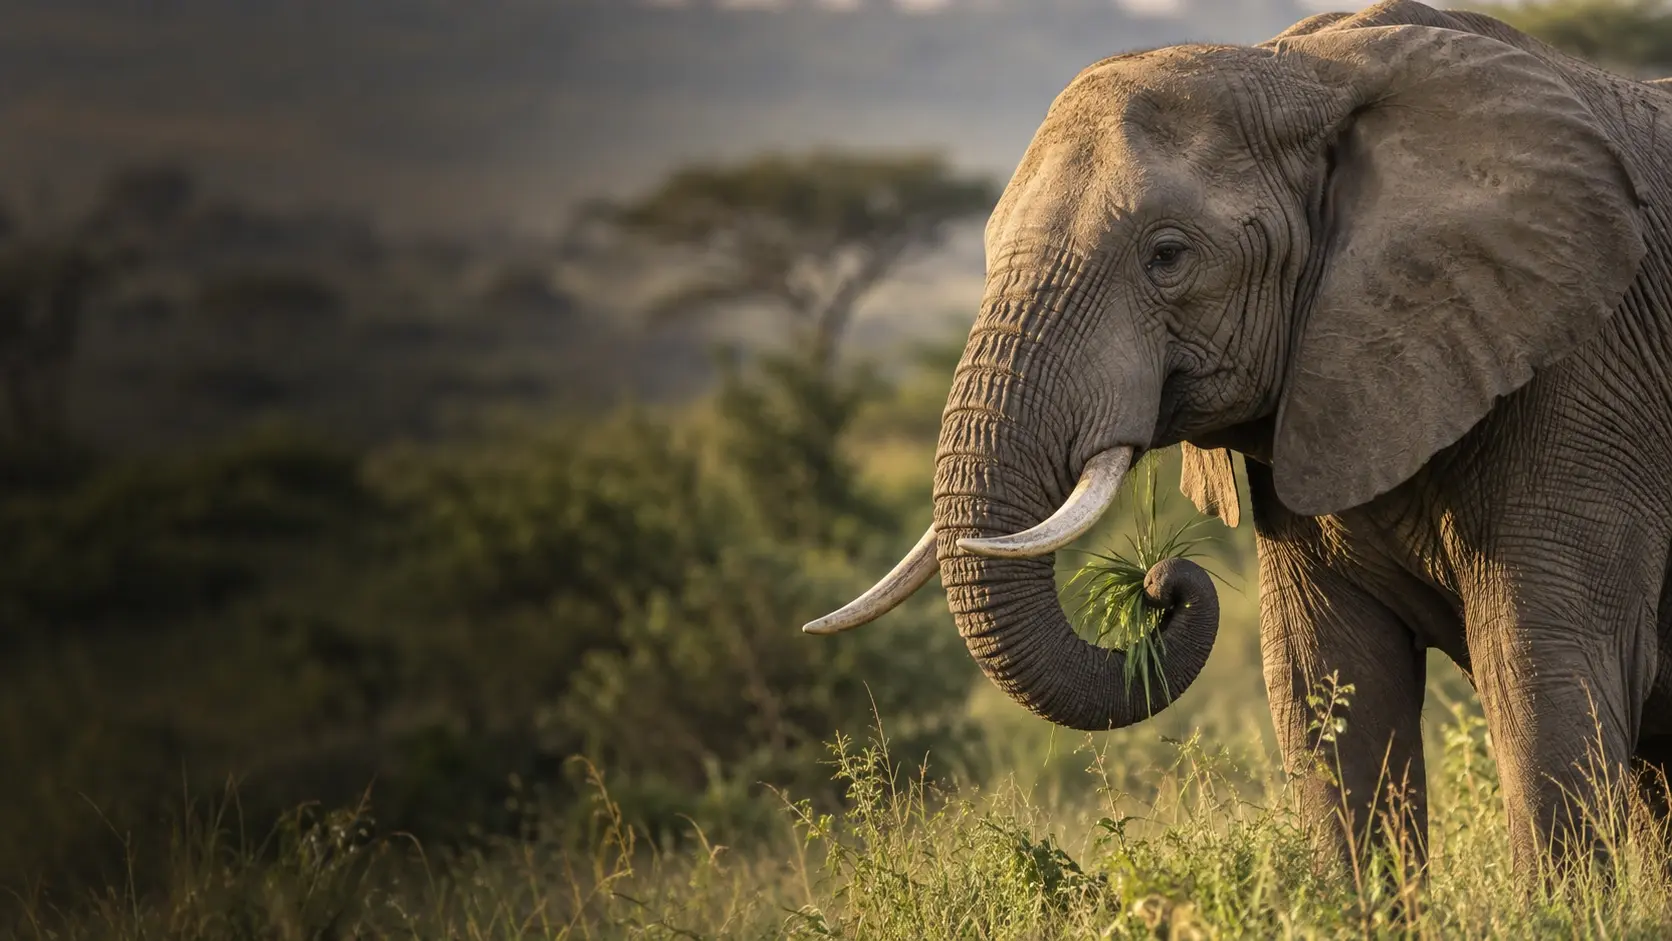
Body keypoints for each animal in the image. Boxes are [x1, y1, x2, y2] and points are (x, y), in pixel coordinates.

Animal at [804, 0, 1672, 875]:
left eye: (1167, 255)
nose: (1160, 581)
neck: (1316, 69)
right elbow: (1325, 683)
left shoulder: (1589, 378)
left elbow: (1542, 674)